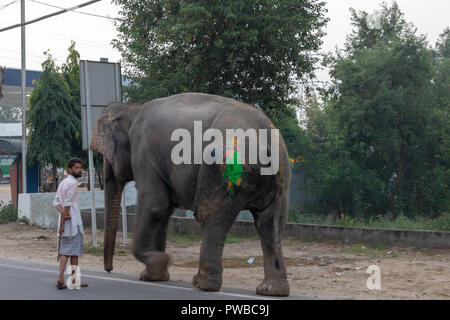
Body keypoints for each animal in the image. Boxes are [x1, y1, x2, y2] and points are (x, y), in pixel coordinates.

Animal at [90, 91, 292, 296]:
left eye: (104, 157)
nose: (109, 269)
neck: (132, 109)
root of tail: (266, 142)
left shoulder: (144, 152)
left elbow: (155, 205)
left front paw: (159, 263)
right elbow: (164, 211)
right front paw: (154, 276)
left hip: (222, 169)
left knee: (212, 217)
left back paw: (202, 284)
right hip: (280, 180)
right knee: (270, 223)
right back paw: (271, 290)